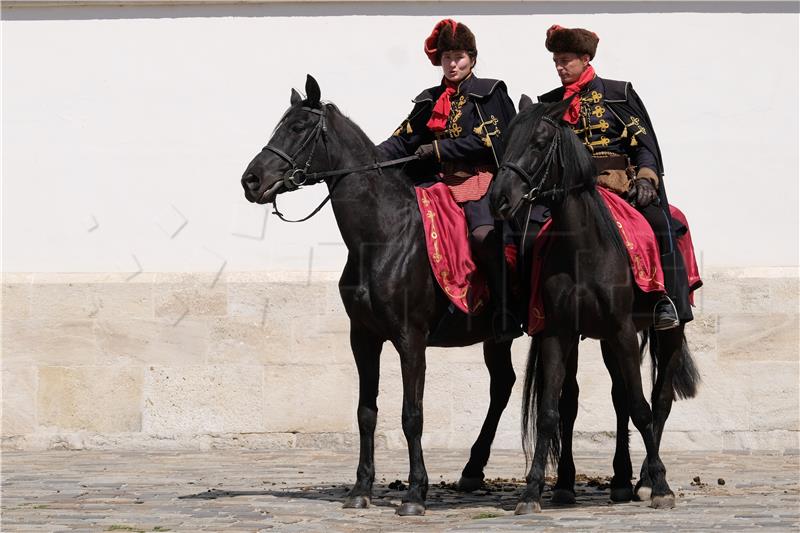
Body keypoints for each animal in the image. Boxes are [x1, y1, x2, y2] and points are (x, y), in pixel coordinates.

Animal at [241, 75, 520, 516]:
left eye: (299, 127)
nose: (251, 181)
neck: (383, 237)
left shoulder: (411, 339)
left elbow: (411, 415)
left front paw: (415, 493)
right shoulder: (364, 338)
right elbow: (365, 412)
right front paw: (361, 488)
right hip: (497, 337)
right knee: (503, 385)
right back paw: (473, 470)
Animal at [488, 97, 700, 512]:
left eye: (539, 143)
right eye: (505, 142)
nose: (499, 198)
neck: (583, 247)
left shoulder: (622, 331)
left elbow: (642, 408)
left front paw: (661, 487)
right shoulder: (559, 333)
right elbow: (551, 412)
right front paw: (533, 492)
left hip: (666, 331)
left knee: (659, 400)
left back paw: (645, 481)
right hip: (603, 340)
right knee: (615, 398)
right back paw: (619, 481)